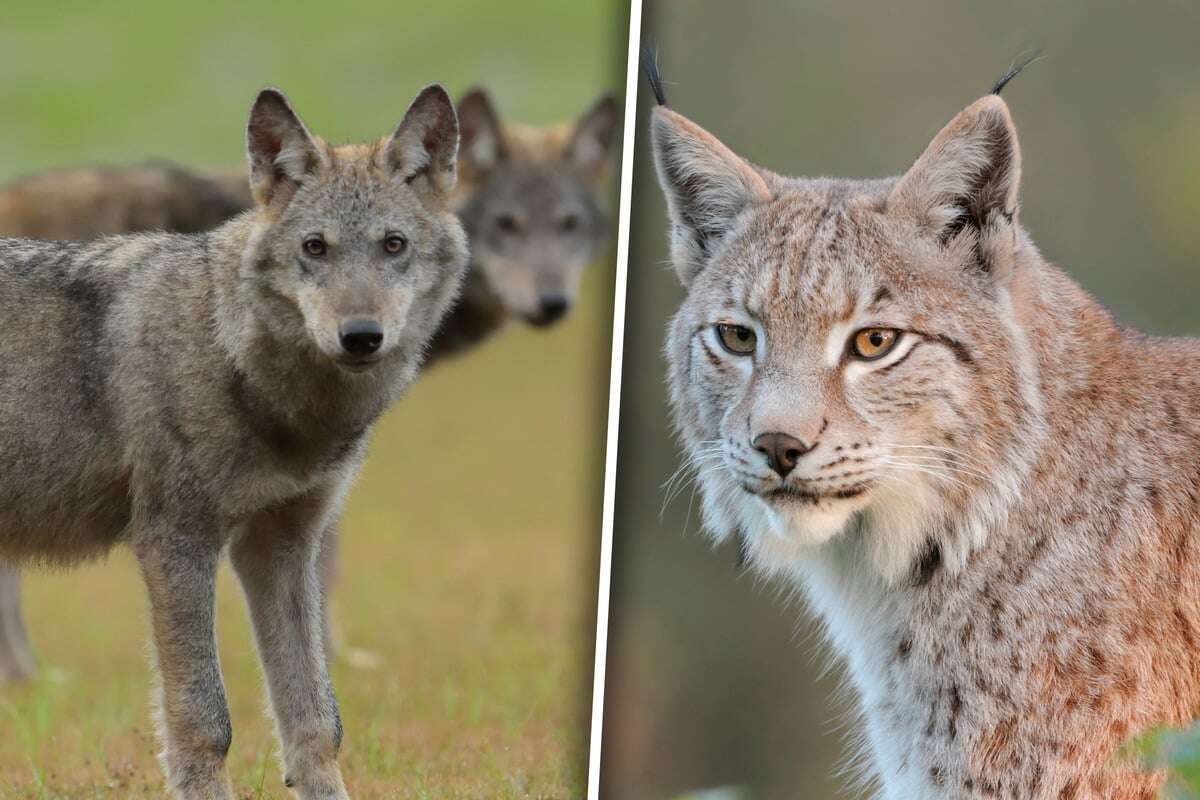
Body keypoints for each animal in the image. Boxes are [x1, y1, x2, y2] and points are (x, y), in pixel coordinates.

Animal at [0, 84, 468, 796]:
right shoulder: (176, 543)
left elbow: (316, 722)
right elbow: (206, 720)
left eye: (393, 245)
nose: (361, 336)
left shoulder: (280, 547)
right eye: (315, 248)